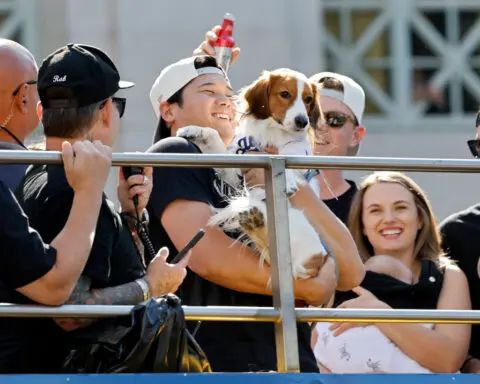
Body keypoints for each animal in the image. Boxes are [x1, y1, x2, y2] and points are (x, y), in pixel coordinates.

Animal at [178, 69, 328, 280]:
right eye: (285, 94)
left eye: (308, 99)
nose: (303, 121)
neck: (274, 132)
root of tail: (316, 260)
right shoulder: (235, 171)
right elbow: (215, 139)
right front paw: (195, 130)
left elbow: (288, 159)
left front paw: (288, 181)